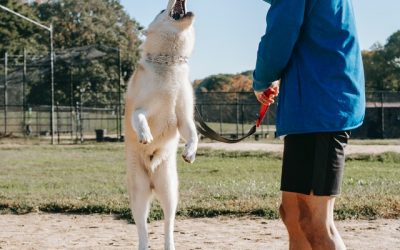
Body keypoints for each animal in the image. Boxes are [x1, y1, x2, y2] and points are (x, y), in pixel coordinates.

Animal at [123, 0, 195, 249]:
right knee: (142, 227)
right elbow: (140, 118)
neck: (169, 64)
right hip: (139, 194)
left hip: (170, 191)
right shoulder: (140, 108)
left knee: (168, 223)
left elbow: (193, 134)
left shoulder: (184, 116)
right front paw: (145, 135)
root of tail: (153, 181)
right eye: (161, 11)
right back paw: (143, 245)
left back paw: (169, 244)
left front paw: (190, 152)